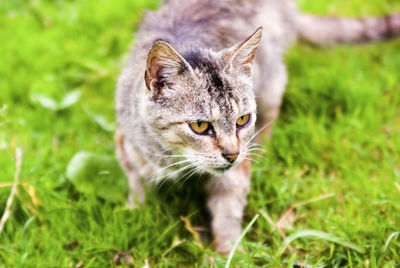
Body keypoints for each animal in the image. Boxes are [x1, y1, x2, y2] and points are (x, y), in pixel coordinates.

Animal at [114, 0, 398, 254]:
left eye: (242, 120)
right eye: (200, 125)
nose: (232, 154)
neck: (174, 158)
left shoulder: (235, 173)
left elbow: (227, 211)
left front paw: (229, 254)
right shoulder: (126, 143)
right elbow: (137, 185)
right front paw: (135, 215)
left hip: (273, 81)